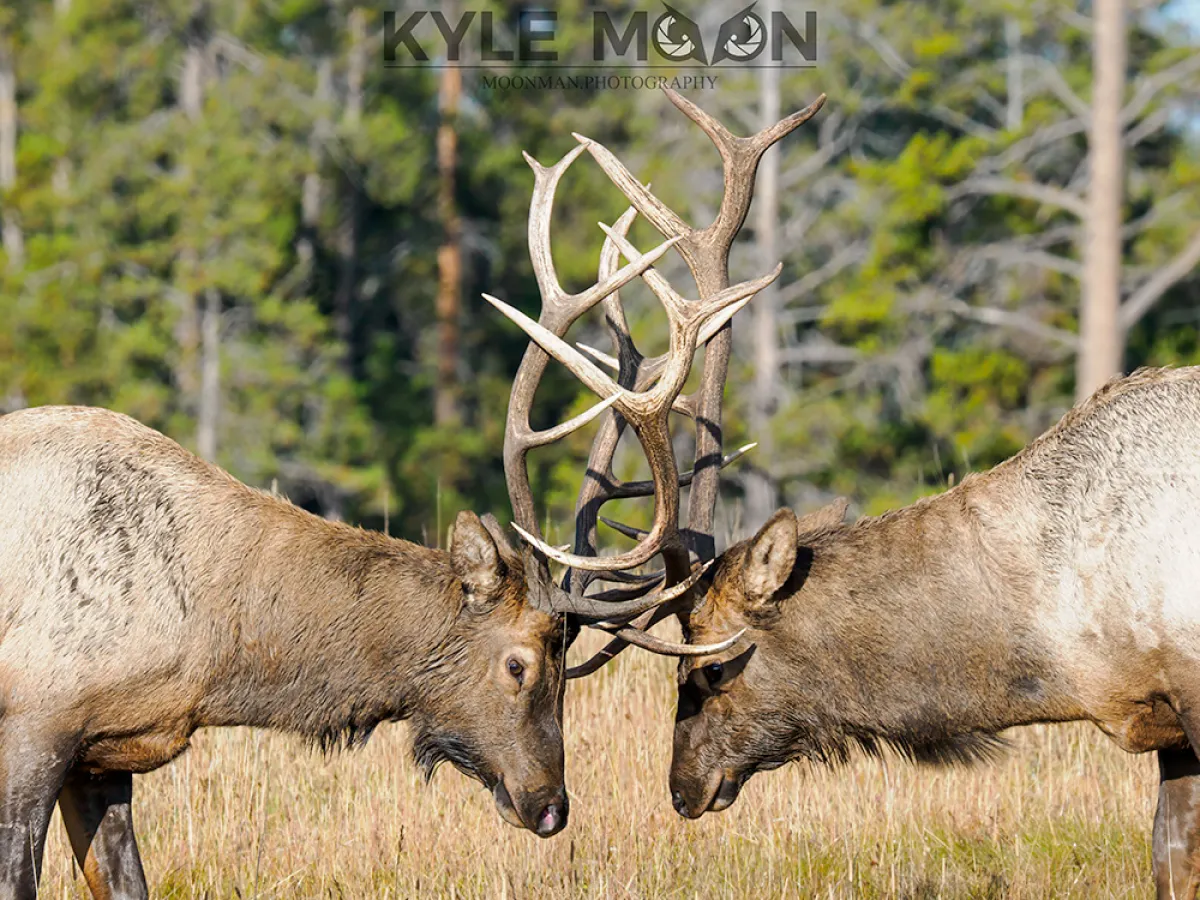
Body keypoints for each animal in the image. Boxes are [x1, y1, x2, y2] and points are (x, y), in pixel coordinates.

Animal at [0, 91, 777, 900]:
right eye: (519, 665)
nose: (551, 806)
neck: (206, 647)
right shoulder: (35, 716)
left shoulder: (103, 750)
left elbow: (127, 881)